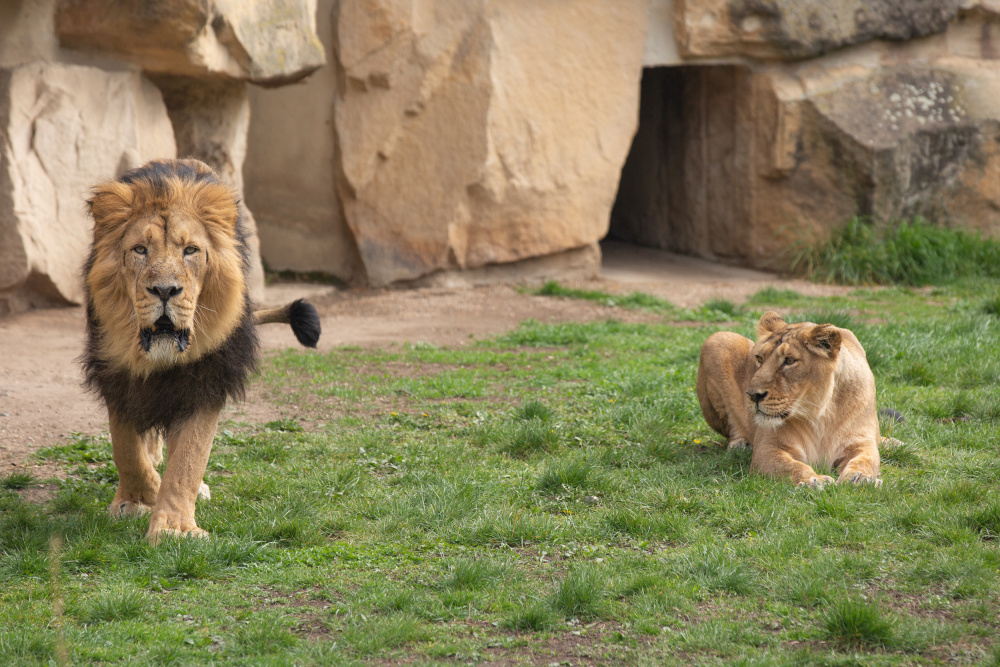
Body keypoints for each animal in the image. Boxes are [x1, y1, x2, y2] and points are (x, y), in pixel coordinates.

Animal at [84, 160, 324, 544]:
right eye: (140, 250)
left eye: (190, 251)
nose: (164, 290)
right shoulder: (115, 373)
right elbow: (126, 447)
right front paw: (138, 499)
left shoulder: (207, 379)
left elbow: (188, 458)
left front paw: (175, 528)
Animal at [696, 310, 884, 488]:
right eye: (759, 358)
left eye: (790, 360)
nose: (752, 395)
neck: (820, 416)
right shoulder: (767, 449)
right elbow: (792, 466)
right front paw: (814, 480)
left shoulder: (861, 442)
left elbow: (866, 460)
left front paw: (861, 478)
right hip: (717, 340)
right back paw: (740, 444)